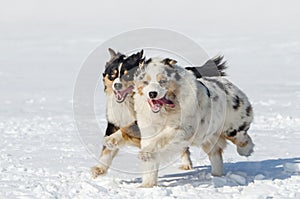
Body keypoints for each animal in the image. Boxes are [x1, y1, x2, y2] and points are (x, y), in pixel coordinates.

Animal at [133, 57, 253, 187]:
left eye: (162, 81)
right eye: (146, 82)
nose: (152, 93)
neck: (166, 111)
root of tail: (229, 85)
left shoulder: (183, 129)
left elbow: (161, 139)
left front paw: (144, 154)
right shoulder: (149, 132)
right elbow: (151, 162)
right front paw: (147, 185)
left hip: (232, 128)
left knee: (242, 138)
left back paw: (246, 151)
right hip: (208, 138)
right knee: (216, 156)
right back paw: (217, 176)